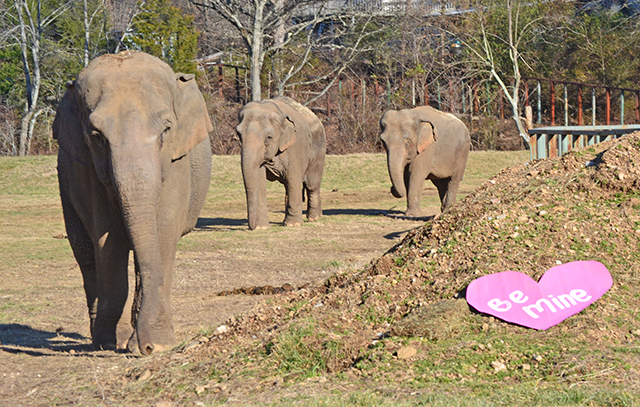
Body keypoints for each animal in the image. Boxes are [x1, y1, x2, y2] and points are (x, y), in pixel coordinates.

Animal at [52, 51, 212, 356]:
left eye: (166, 129)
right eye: (97, 137)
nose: (147, 348)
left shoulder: (177, 162)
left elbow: (163, 233)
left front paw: (158, 343)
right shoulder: (88, 170)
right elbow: (108, 239)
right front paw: (111, 342)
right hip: (65, 185)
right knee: (85, 251)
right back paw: (105, 338)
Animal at [235, 95, 324, 230]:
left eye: (268, 137)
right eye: (239, 135)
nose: (251, 227)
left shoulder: (297, 145)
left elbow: (293, 179)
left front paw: (294, 225)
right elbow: (259, 180)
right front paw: (262, 227)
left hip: (318, 150)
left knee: (311, 184)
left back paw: (314, 218)